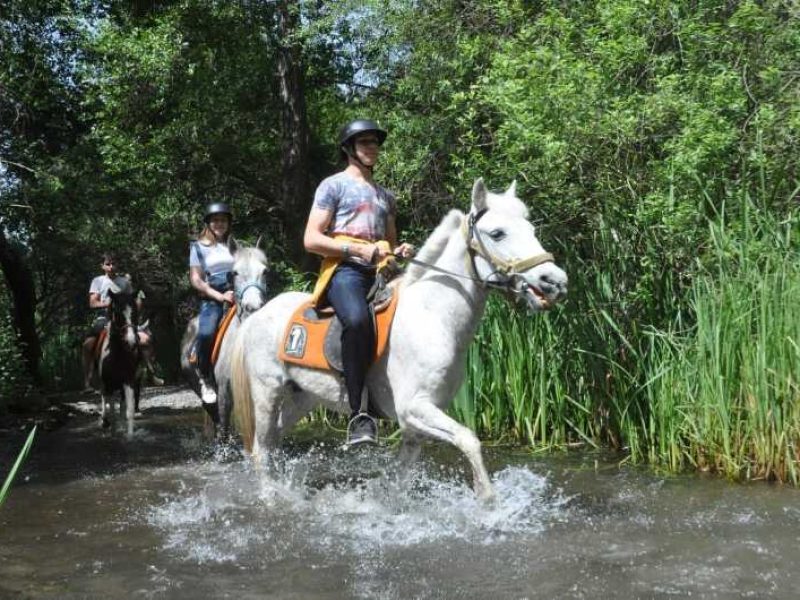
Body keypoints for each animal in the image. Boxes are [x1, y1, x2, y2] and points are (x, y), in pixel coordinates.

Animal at [96, 278, 144, 438]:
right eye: (117, 314)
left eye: (135, 312)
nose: (131, 341)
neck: (116, 355)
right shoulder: (109, 384)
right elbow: (111, 408)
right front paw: (113, 431)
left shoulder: (128, 381)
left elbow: (128, 409)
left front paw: (129, 435)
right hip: (104, 384)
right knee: (104, 399)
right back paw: (105, 422)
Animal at [180, 240, 269, 442]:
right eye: (234, 272)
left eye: (265, 271)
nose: (252, 307)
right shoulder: (225, 392)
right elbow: (223, 425)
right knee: (213, 414)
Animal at [230, 178, 568, 500]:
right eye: (497, 233)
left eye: (531, 229)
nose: (556, 281)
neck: (433, 316)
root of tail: (259, 312)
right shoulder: (414, 408)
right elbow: (469, 439)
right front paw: (487, 500)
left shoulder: (416, 424)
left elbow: (401, 477)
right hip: (267, 392)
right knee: (261, 449)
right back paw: (271, 497)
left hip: (302, 397)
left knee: (273, 441)